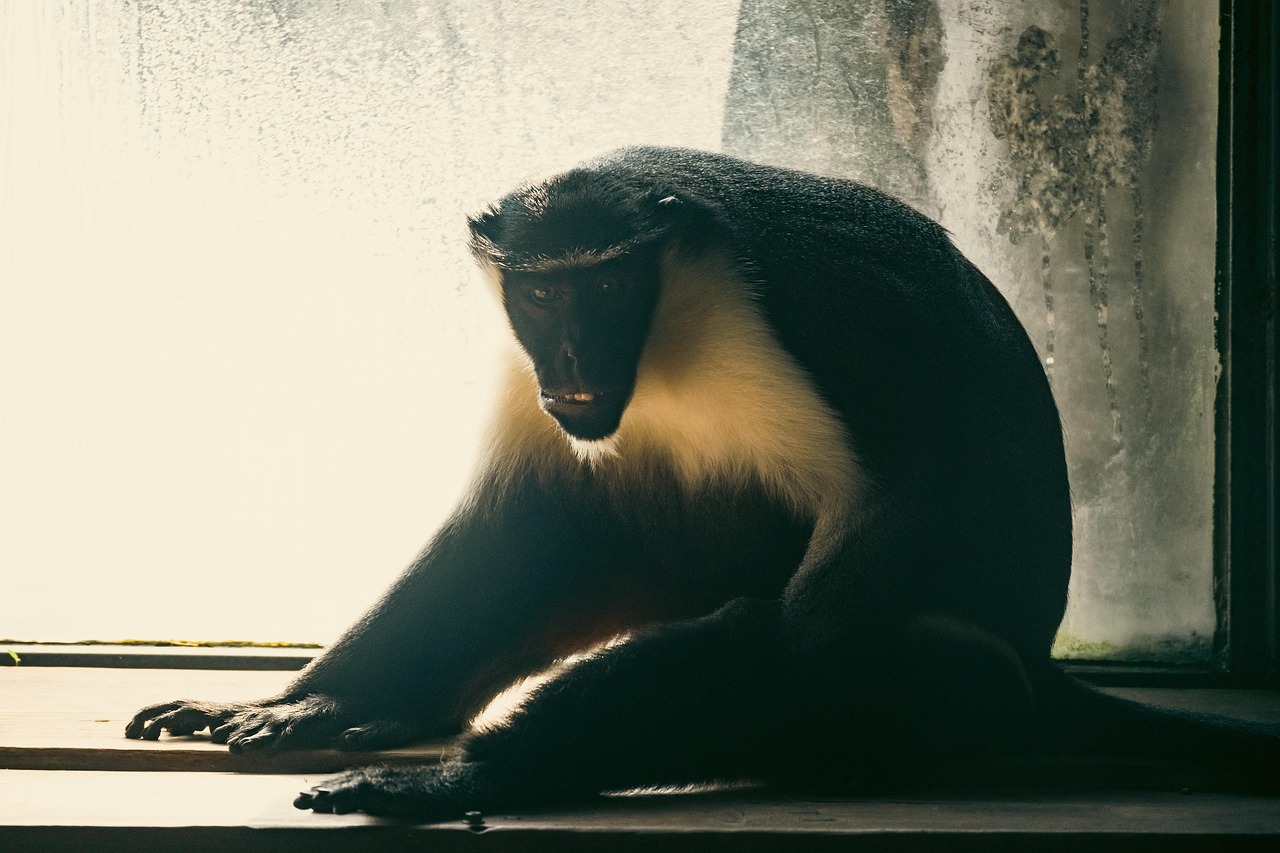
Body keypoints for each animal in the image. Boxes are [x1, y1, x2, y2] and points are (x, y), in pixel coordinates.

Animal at [127, 147, 1278, 820]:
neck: (676, 307)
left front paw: (482, 764)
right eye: (541, 295)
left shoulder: (794, 321)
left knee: (811, 643)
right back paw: (375, 706)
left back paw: (496, 770)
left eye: (605, 285)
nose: (574, 360)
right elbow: (511, 520)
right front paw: (312, 698)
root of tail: (1036, 676)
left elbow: (835, 587)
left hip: (955, 676)